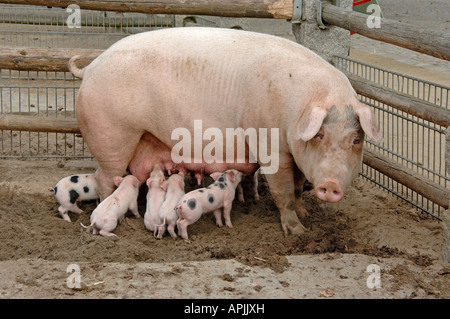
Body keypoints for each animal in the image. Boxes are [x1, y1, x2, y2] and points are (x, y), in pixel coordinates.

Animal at [69, 27, 380, 236]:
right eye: (320, 136)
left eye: (356, 140)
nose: (331, 185)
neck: (298, 110)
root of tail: (90, 67)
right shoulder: (270, 145)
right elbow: (283, 191)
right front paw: (298, 232)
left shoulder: (298, 155)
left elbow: (298, 186)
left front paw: (306, 215)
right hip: (113, 136)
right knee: (104, 177)